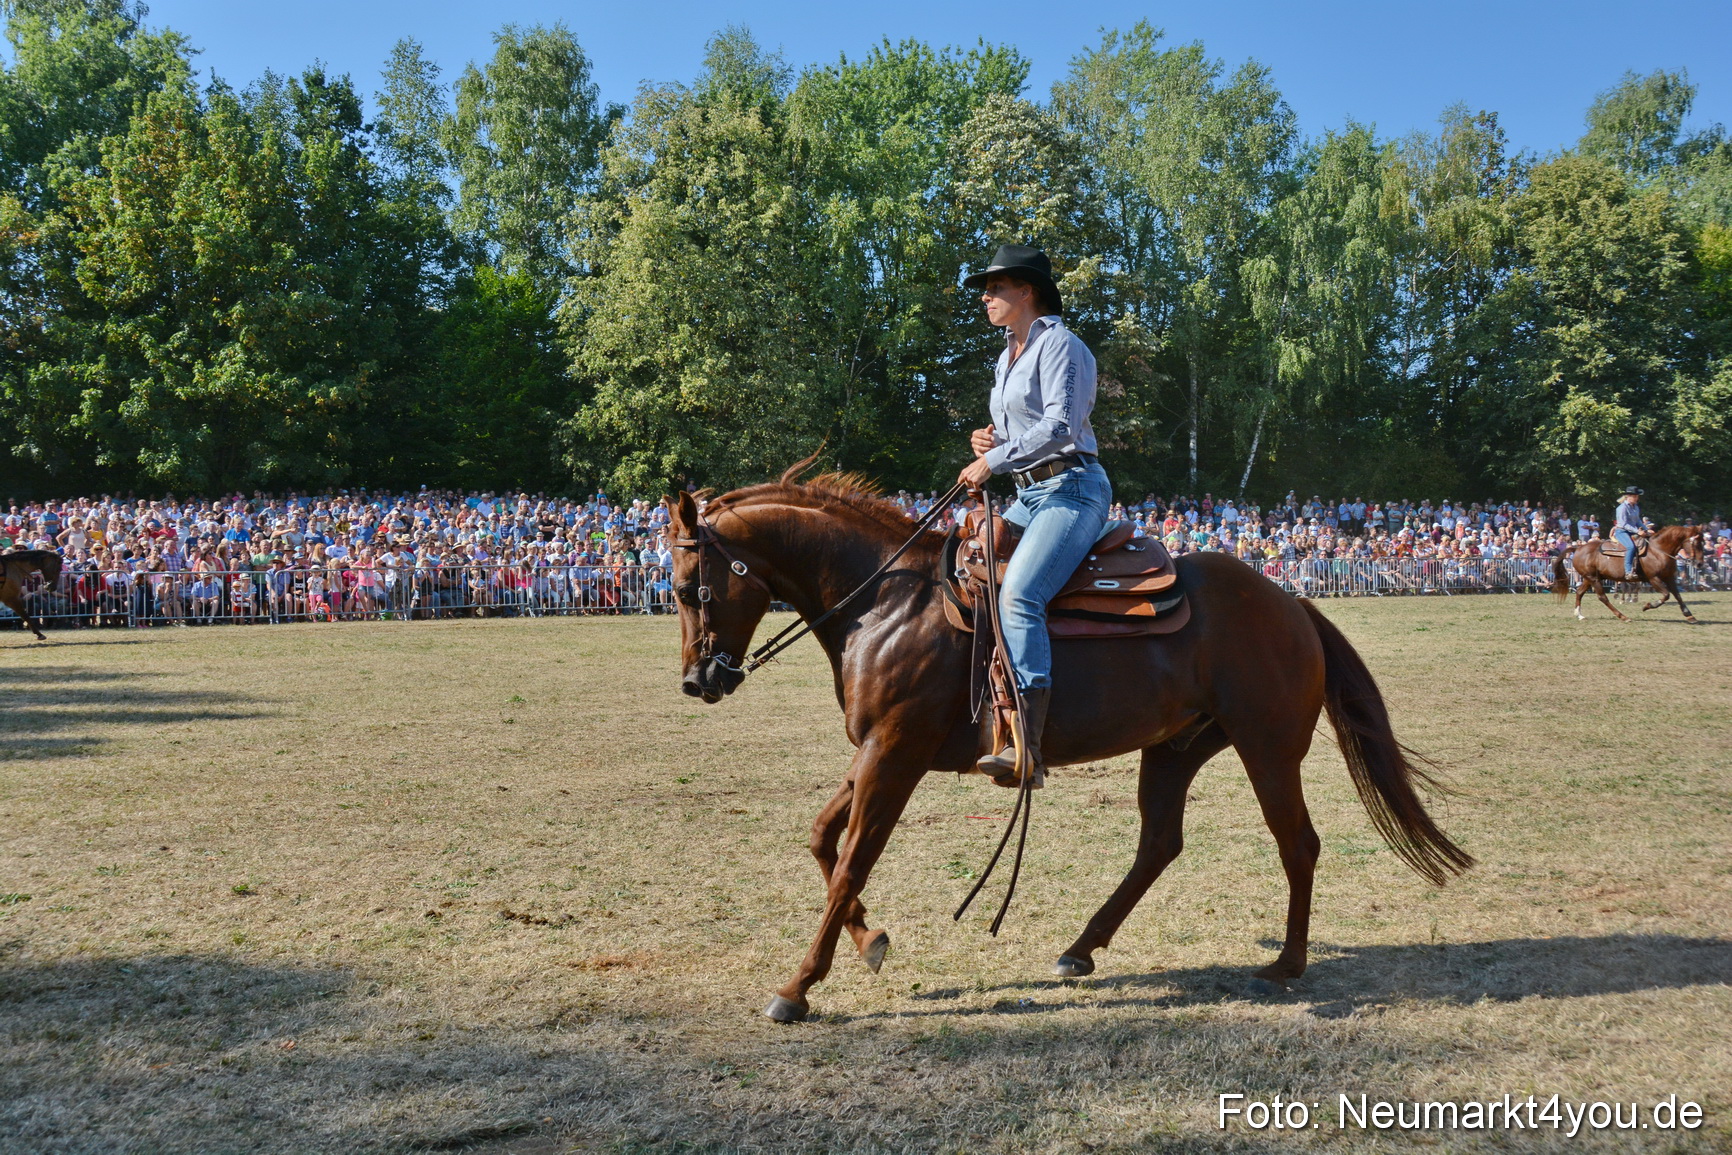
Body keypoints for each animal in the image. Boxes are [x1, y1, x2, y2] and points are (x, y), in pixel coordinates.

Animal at [666, 467, 1473, 1022]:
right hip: (1176, 747)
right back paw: (1080, 947)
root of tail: (1292, 602)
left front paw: (798, 986)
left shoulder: (894, 753)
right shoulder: (875, 751)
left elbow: (849, 864)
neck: (888, 602)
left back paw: (1287, 962)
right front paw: (870, 943)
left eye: (684, 586)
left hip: (1267, 747)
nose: (698, 680)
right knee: (1160, 843)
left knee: (1296, 842)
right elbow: (822, 840)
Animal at [1549, 525, 1704, 624]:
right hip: (1593, 579)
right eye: (1695, 543)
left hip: (1591, 578)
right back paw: (1623, 617)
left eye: (1702, 542)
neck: (1658, 551)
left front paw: (1689, 616)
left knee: (1580, 592)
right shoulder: (1654, 579)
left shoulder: (1669, 577)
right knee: (1602, 597)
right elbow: (1666, 595)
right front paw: (1648, 606)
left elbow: (1677, 595)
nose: (1700, 564)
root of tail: (1578, 548)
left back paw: (1580, 615)